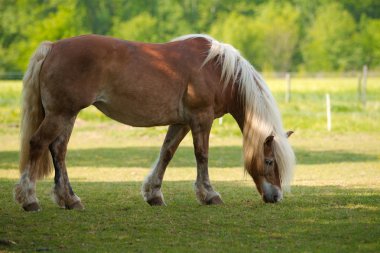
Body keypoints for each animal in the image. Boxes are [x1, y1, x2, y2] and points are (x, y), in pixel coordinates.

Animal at [13, 33, 296, 211]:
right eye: (269, 161)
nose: (276, 196)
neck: (217, 70)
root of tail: (53, 47)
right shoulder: (201, 119)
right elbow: (202, 155)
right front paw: (209, 194)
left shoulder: (182, 123)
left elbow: (166, 153)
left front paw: (154, 194)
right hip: (60, 114)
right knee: (37, 144)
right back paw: (29, 200)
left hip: (67, 115)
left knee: (58, 151)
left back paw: (70, 200)